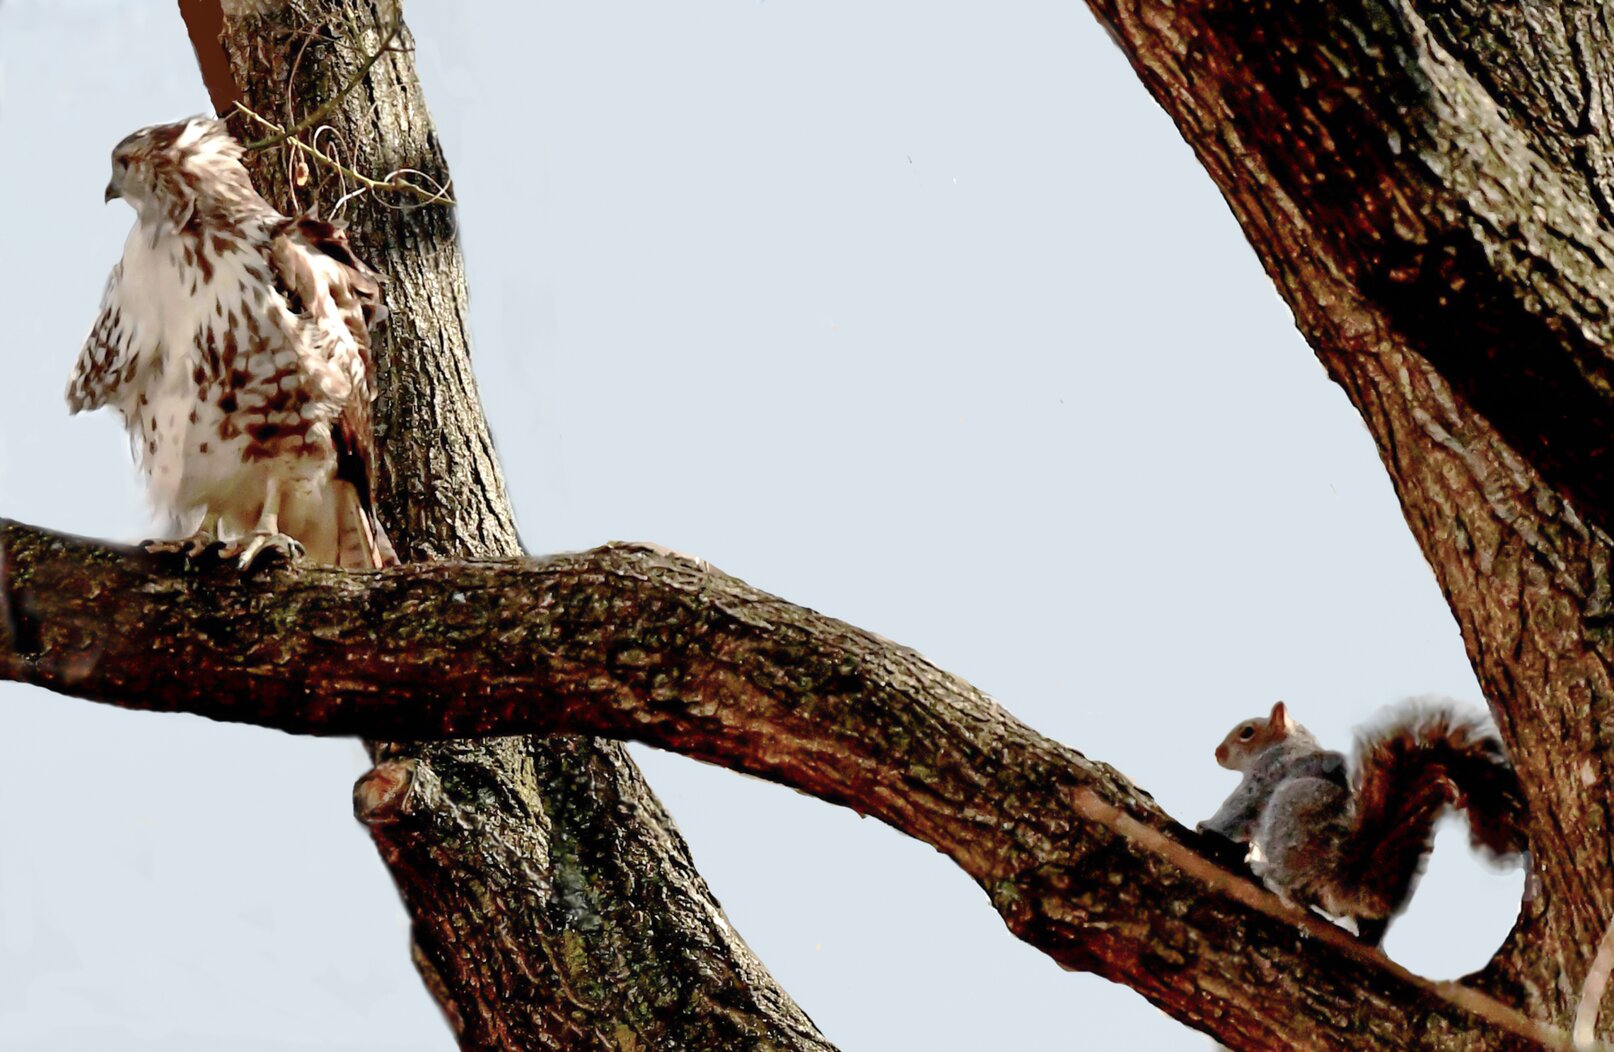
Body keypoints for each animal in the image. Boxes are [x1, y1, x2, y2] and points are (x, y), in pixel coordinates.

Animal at [1200, 697, 1523, 942]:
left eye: (1247, 731)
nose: (1217, 753)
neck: (1289, 742)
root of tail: (1348, 874)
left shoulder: (1266, 777)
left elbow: (1239, 811)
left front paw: (1207, 828)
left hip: (1293, 806)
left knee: (1293, 891)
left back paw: (1268, 874)